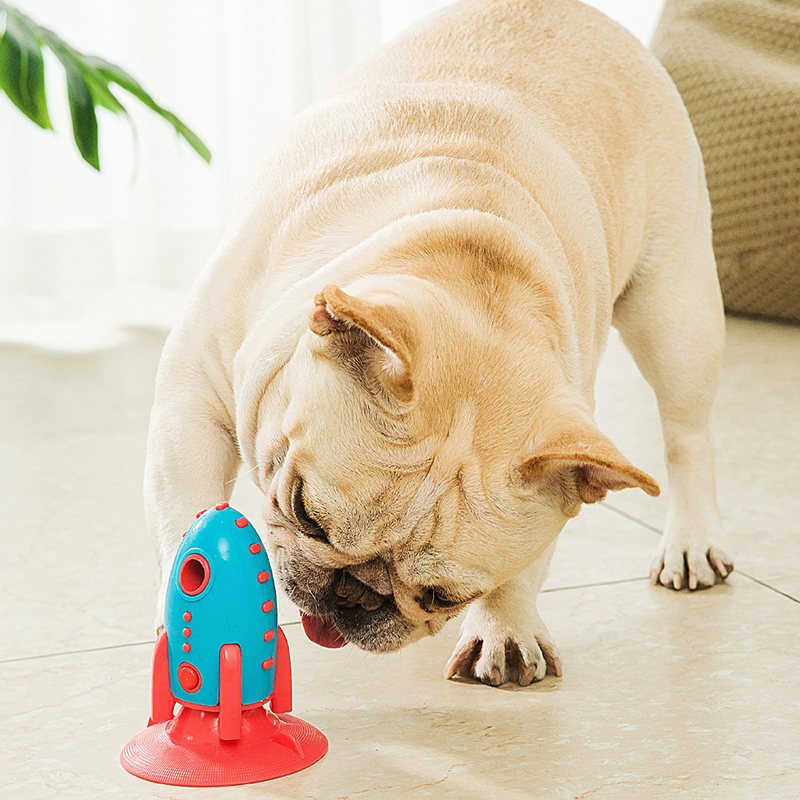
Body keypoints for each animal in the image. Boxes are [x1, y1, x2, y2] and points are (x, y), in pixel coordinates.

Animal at [144, 0, 734, 687]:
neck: (465, 252)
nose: (353, 593)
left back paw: (692, 540)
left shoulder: (561, 453)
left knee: (687, 435)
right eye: (304, 510)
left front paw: (506, 627)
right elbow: (184, 516)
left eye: (441, 597)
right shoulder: (192, 408)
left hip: (676, 311)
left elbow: (523, 567)